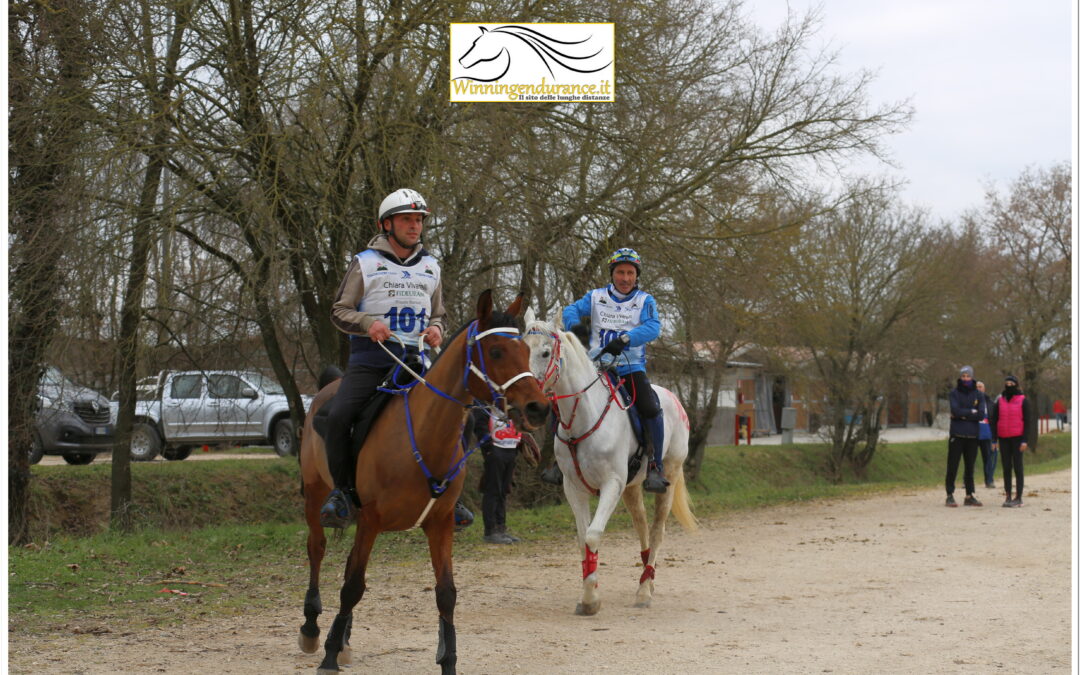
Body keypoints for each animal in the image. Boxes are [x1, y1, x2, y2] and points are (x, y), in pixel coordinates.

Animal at [295, 291, 548, 673]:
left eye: (524, 350)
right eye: (496, 352)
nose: (537, 408)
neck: (423, 435)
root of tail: (328, 387)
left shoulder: (439, 523)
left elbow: (446, 593)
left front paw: (448, 661)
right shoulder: (370, 520)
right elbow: (352, 586)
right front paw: (328, 655)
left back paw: (344, 640)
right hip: (315, 494)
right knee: (318, 548)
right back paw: (312, 629)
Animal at [524, 311, 699, 617]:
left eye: (545, 352)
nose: (529, 402)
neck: (584, 417)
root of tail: (673, 398)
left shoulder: (611, 485)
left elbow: (593, 535)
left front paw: (591, 600)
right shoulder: (574, 488)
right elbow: (583, 540)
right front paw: (587, 596)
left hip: (669, 475)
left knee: (657, 532)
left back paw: (644, 592)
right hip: (631, 488)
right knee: (642, 527)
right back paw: (648, 579)